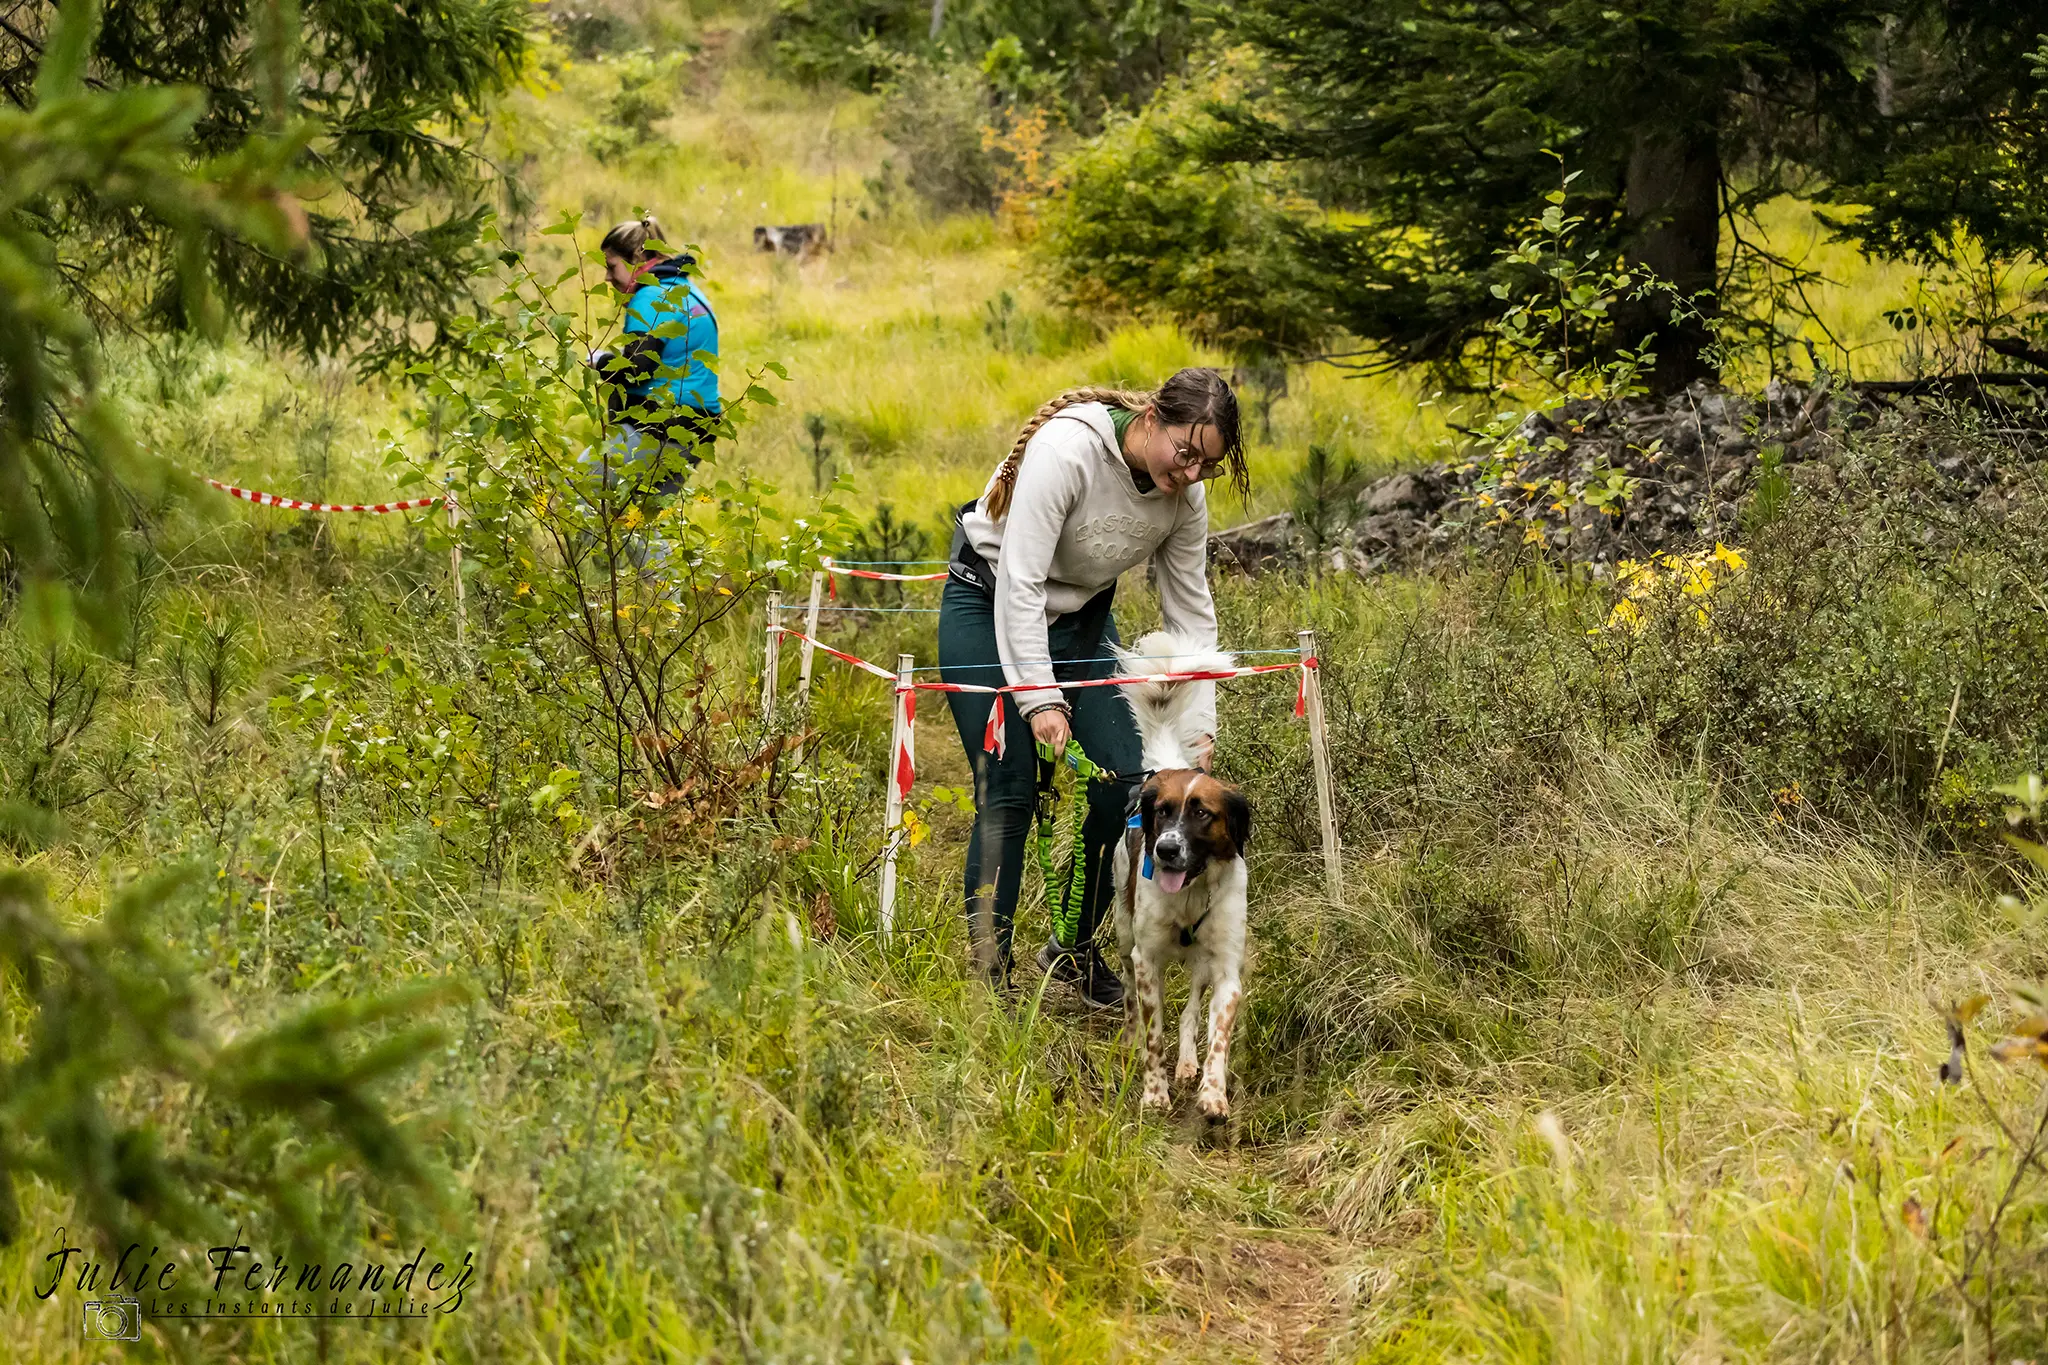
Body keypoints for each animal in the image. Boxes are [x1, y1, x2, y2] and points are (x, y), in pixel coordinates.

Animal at [1114, 630, 1253, 1121]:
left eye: (1201, 813)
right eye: (1162, 811)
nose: (1166, 850)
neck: (1191, 893)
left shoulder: (1226, 966)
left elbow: (1218, 1037)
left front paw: (1213, 1092)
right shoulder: (1146, 959)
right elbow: (1154, 1032)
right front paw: (1154, 1093)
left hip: (1201, 963)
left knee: (1192, 1009)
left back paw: (1189, 1063)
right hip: (1123, 933)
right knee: (1130, 997)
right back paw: (1132, 1041)